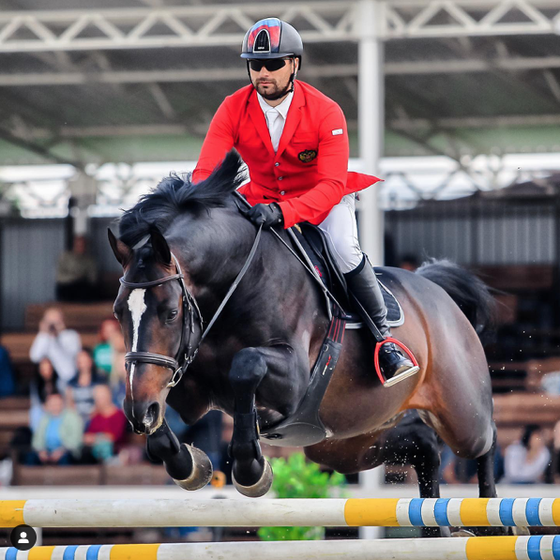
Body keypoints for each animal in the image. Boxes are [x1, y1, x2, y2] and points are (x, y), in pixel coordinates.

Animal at [107, 150, 496, 504]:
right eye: (118, 312)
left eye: (171, 312)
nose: (138, 414)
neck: (237, 283)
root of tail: (434, 288)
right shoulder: (184, 384)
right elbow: (162, 401)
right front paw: (188, 464)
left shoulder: (293, 379)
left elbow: (246, 365)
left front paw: (251, 469)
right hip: (346, 439)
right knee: (422, 445)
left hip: (461, 414)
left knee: (483, 440)